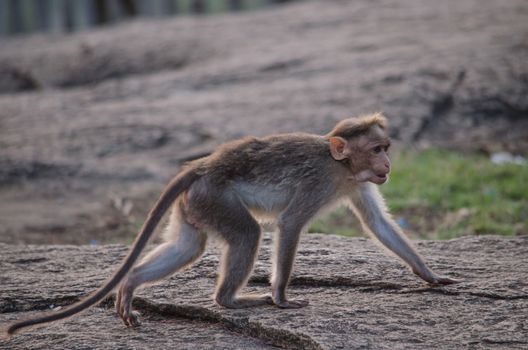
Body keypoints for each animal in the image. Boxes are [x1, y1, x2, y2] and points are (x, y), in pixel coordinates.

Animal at [6, 113, 456, 336]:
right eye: (378, 148)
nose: (388, 164)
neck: (340, 165)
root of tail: (201, 166)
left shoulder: (355, 183)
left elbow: (378, 223)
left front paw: (429, 275)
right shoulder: (318, 182)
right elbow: (290, 223)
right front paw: (281, 297)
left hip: (195, 204)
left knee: (188, 247)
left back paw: (131, 284)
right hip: (216, 198)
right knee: (247, 233)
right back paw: (231, 300)